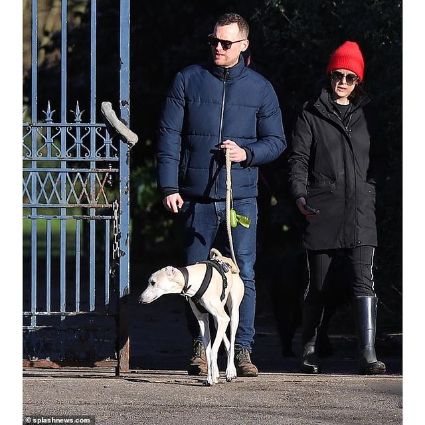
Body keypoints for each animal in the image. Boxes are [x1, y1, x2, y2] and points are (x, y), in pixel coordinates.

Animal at [139, 247, 243, 386]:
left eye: (153, 282)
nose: (140, 299)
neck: (192, 280)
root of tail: (224, 259)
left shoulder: (223, 318)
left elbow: (213, 350)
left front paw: (214, 377)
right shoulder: (203, 320)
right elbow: (208, 351)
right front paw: (210, 378)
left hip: (233, 314)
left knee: (231, 341)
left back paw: (230, 372)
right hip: (218, 319)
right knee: (225, 340)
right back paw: (217, 373)